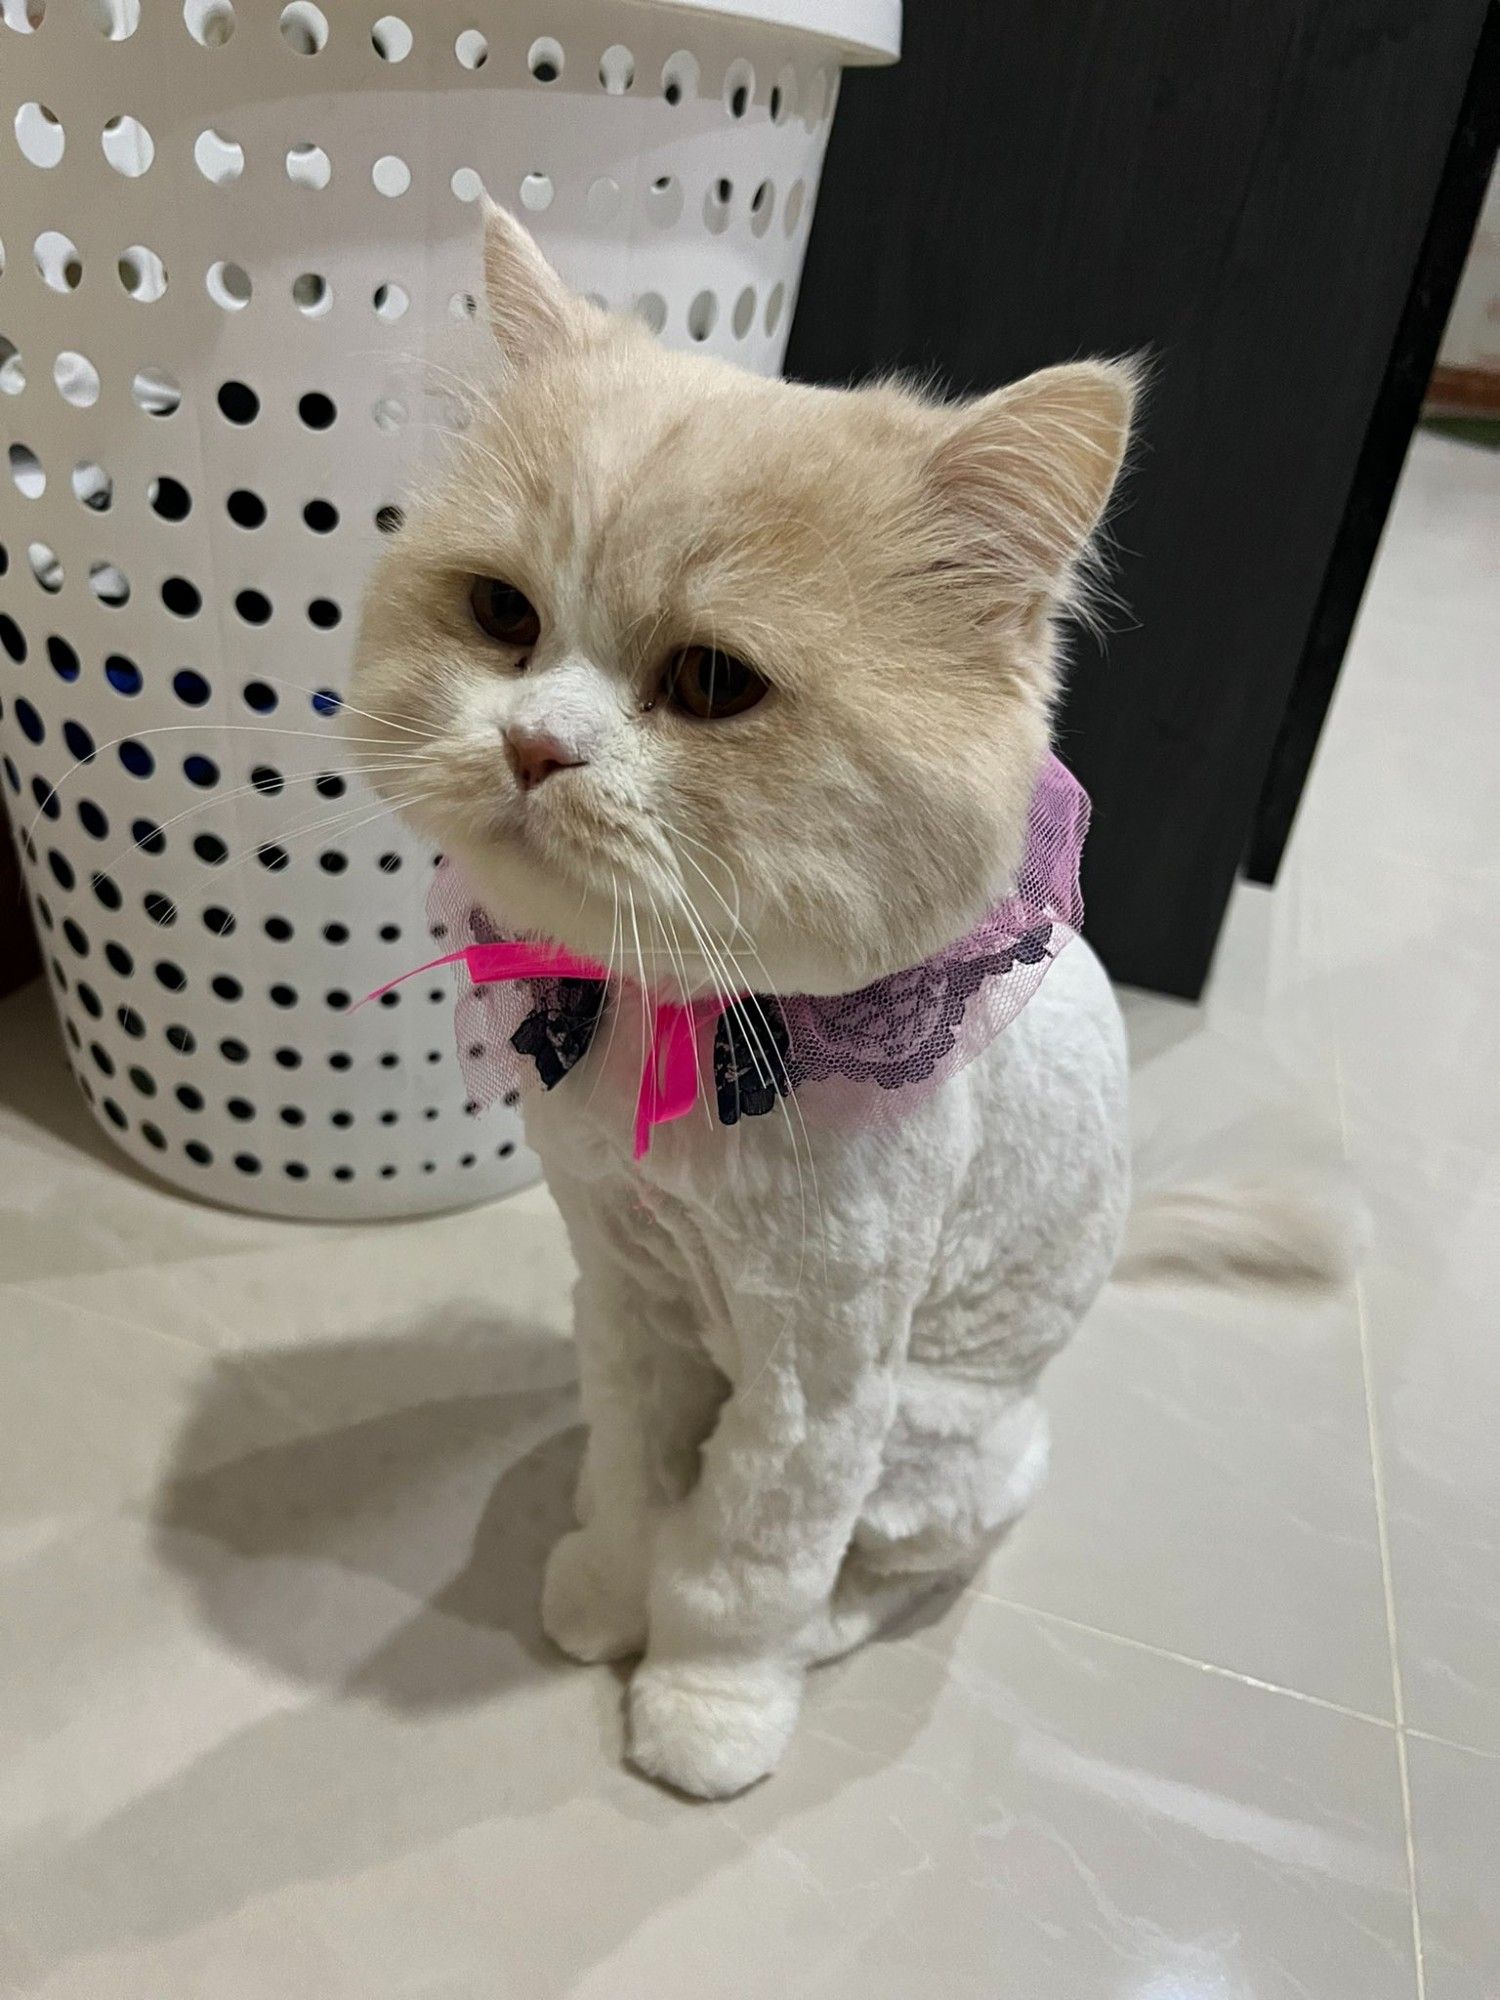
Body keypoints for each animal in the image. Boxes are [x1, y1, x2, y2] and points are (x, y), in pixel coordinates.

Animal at [350, 207, 1336, 1800]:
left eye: (711, 681)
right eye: (503, 615)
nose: (531, 745)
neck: (686, 1030)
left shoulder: (819, 1383)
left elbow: (742, 1560)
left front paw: (703, 1704)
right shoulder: (624, 1298)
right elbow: (631, 1482)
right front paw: (603, 1594)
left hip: (936, 1446)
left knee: (885, 1576)